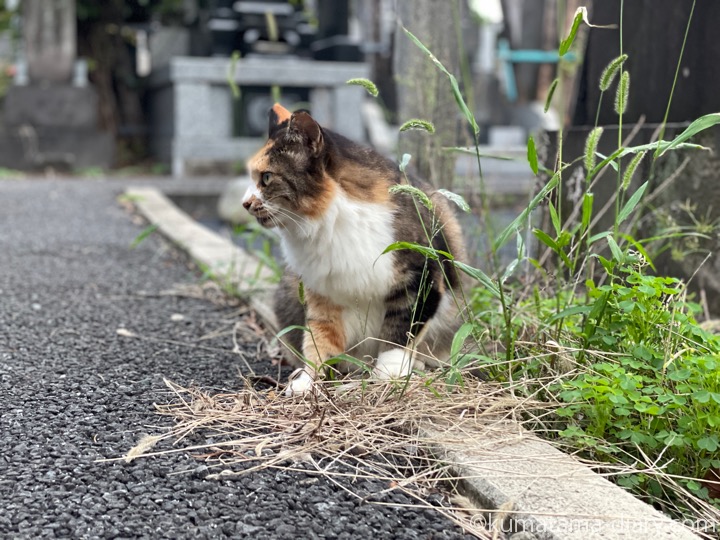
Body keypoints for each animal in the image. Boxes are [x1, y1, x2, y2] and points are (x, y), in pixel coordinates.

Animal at [242, 103, 466, 394]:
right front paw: (308, 381)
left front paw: (389, 372)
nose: (245, 203)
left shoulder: (421, 278)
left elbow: (400, 331)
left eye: (267, 177)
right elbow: (319, 340)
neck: (331, 222)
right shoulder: (323, 295)